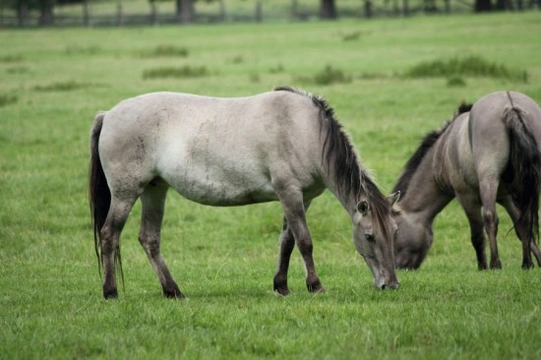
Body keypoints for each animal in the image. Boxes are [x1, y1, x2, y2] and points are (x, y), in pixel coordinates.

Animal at [88, 86, 398, 298]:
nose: (391, 284)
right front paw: (315, 285)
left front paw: (281, 286)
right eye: (369, 236)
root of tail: (108, 115)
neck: (304, 130)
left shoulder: (303, 198)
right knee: (110, 234)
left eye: (394, 233)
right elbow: (305, 241)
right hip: (126, 193)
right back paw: (110, 291)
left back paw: (173, 291)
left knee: (149, 238)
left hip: (155, 190)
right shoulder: (289, 193)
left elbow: (287, 241)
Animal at [390, 90, 540, 270]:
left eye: (394, 233)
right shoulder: (507, 196)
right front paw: (530, 262)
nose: (397, 267)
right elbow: (522, 225)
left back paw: (495, 263)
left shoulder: (466, 197)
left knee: (490, 218)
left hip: (488, 178)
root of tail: (510, 105)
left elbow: (477, 235)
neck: (443, 150)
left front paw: (483, 267)